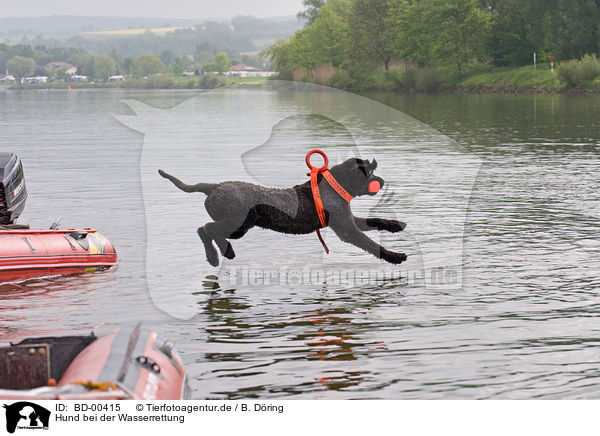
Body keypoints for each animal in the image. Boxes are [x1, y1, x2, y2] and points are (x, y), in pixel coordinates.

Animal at [158, 158, 408, 266]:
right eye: (370, 173)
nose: (381, 181)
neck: (334, 187)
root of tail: (213, 187)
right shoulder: (347, 230)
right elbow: (371, 244)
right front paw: (395, 256)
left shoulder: (348, 220)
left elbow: (375, 220)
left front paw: (396, 225)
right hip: (239, 223)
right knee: (205, 229)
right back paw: (216, 255)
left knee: (210, 231)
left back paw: (224, 252)